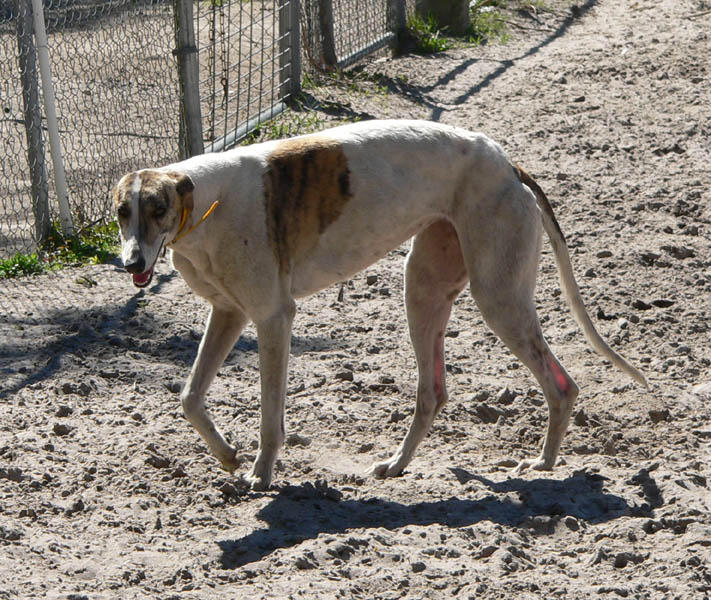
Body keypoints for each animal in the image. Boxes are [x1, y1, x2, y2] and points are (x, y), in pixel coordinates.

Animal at [114, 119, 648, 490]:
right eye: (120, 212)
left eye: (157, 208)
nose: (132, 262)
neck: (207, 199)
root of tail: (506, 163)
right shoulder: (230, 314)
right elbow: (189, 397)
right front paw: (228, 456)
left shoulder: (272, 317)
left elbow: (270, 416)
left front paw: (261, 475)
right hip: (425, 289)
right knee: (433, 393)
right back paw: (397, 463)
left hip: (498, 297)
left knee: (562, 384)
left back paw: (544, 462)